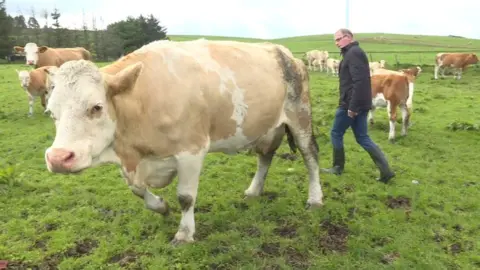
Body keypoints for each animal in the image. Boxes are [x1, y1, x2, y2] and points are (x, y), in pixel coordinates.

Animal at [42, 39, 326, 245]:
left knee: (310, 157)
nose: (58, 157)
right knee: (265, 157)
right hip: (266, 128)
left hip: (300, 116)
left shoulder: (191, 151)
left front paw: (184, 234)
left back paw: (315, 199)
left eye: (96, 107)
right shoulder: (130, 160)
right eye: (50, 112)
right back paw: (254, 191)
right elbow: (138, 190)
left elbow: (186, 197)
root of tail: (285, 53)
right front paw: (161, 207)